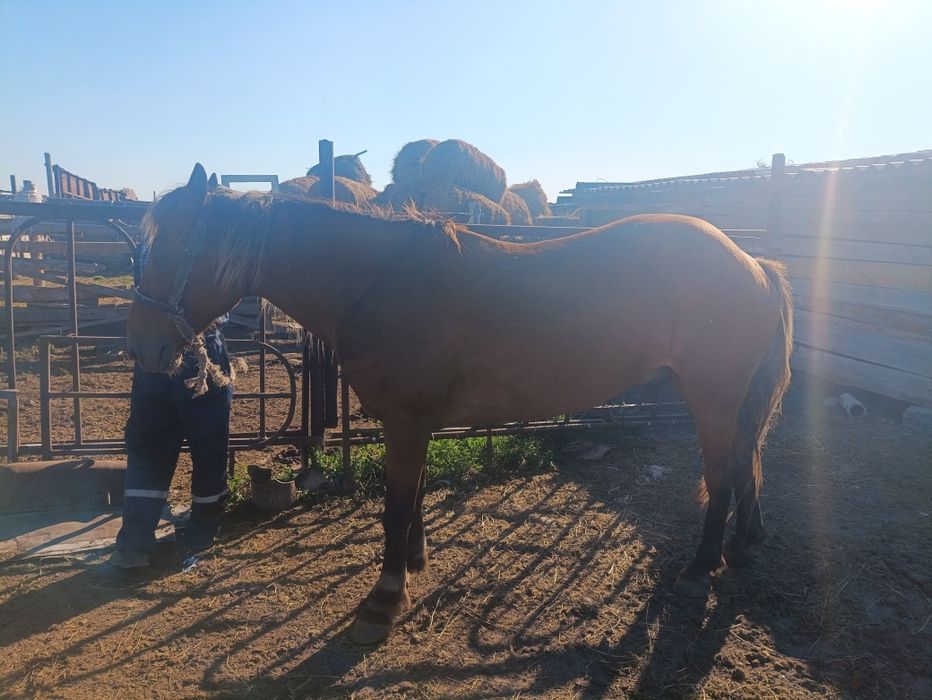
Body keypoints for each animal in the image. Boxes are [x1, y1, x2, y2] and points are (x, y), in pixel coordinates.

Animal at [127, 164, 793, 645]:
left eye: (169, 250)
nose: (145, 347)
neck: (378, 283)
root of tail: (753, 262)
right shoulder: (413, 423)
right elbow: (414, 495)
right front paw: (414, 563)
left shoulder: (406, 422)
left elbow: (396, 505)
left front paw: (385, 598)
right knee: (743, 466)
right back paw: (739, 547)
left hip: (712, 398)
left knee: (721, 476)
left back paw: (698, 570)